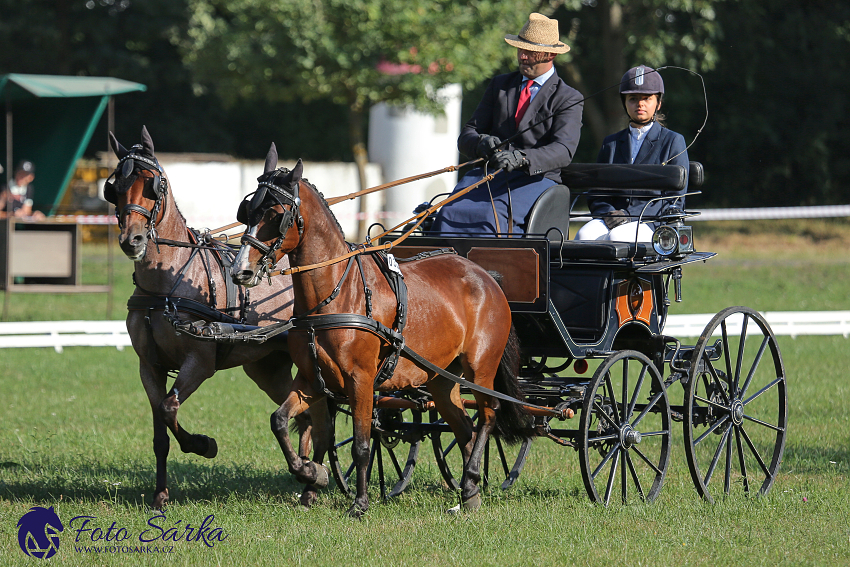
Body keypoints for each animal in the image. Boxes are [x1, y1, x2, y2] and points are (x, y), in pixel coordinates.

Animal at [107, 129, 326, 510]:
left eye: (152, 185)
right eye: (115, 187)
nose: (131, 240)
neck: (167, 281)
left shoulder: (200, 361)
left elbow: (169, 408)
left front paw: (203, 444)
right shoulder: (149, 367)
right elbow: (160, 431)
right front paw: (160, 495)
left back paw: (314, 480)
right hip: (268, 369)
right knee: (304, 414)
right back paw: (308, 479)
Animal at [229, 148, 528, 520]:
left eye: (275, 214)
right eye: (247, 211)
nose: (240, 271)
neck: (335, 295)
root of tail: (486, 276)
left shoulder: (360, 380)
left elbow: (361, 443)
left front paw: (359, 503)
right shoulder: (311, 379)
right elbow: (281, 421)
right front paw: (312, 474)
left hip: (481, 369)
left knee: (488, 415)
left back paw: (472, 476)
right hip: (442, 379)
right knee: (463, 426)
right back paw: (469, 491)